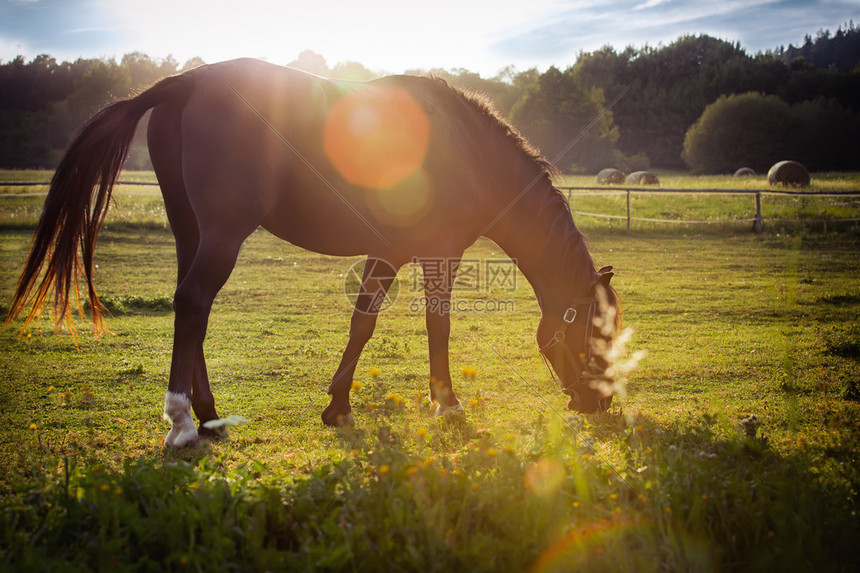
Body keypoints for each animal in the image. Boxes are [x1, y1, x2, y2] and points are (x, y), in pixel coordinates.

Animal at [5, 58, 620, 444]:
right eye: (595, 333)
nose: (598, 403)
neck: (469, 151)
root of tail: (186, 83)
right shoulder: (438, 255)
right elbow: (437, 325)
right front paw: (446, 403)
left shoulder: (387, 253)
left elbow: (362, 323)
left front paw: (338, 405)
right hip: (223, 235)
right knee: (194, 302)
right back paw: (181, 421)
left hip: (190, 231)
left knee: (190, 309)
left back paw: (208, 415)